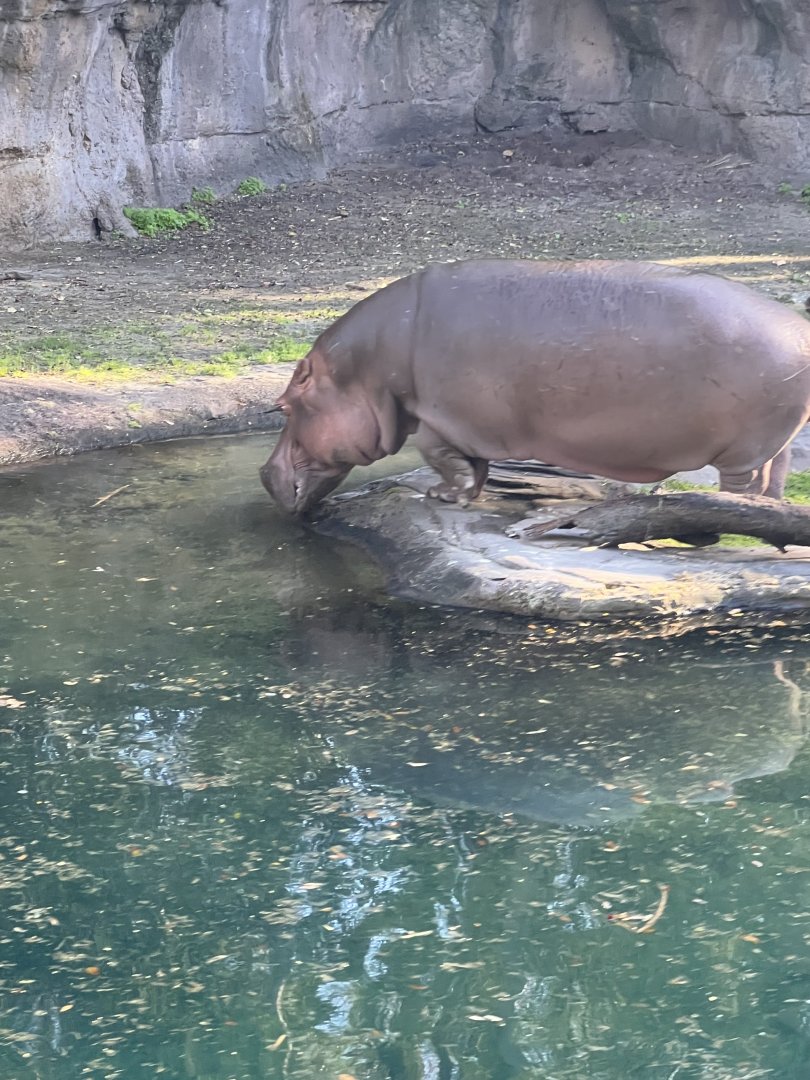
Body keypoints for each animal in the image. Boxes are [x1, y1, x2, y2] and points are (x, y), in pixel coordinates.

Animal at [260, 259, 810, 514]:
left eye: (283, 405)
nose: (264, 473)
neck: (370, 367)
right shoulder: (468, 426)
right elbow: (474, 466)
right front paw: (467, 496)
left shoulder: (440, 418)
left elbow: (441, 458)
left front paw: (442, 496)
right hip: (774, 437)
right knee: (777, 471)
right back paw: (775, 507)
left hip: (743, 448)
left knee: (743, 481)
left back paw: (734, 509)